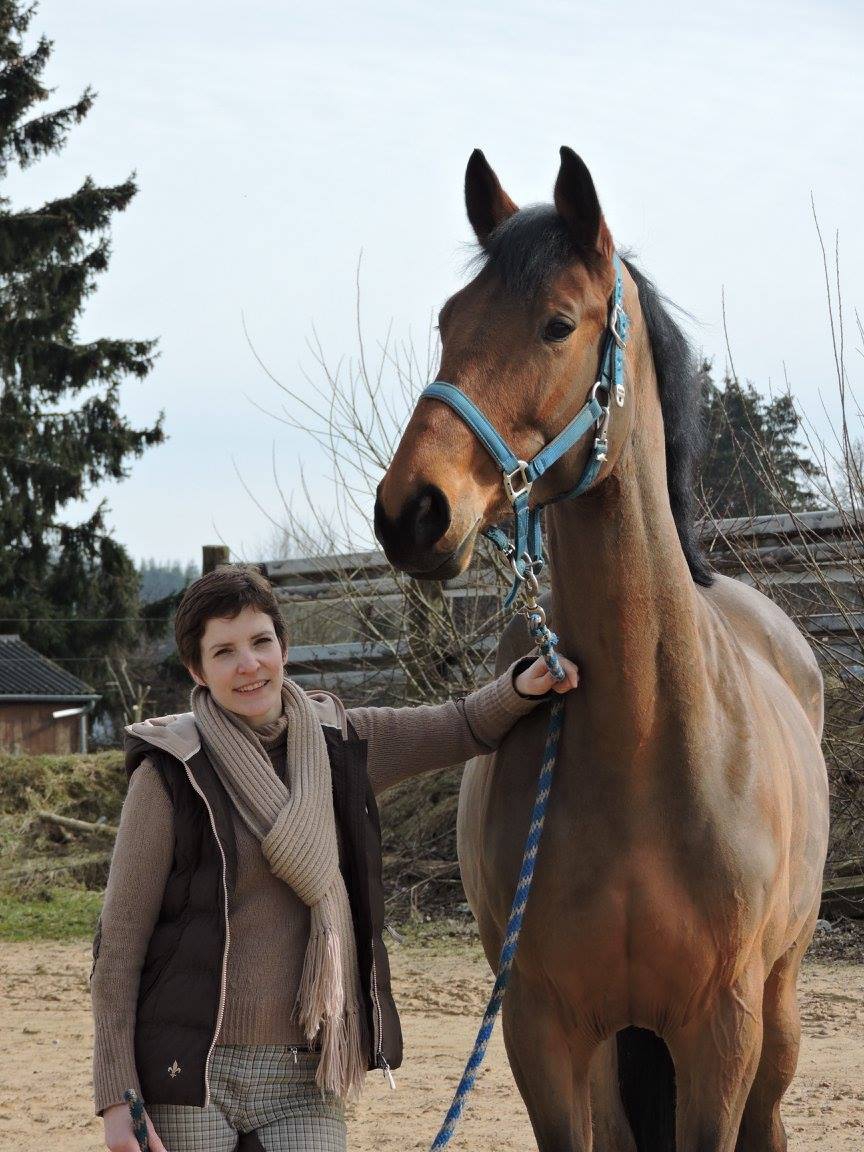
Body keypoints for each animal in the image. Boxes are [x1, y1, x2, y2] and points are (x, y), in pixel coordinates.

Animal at [372, 147, 829, 1152]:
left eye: (557, 323)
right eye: (447, 322)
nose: (412, 509)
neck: (645, 738)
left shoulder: (720, 1030)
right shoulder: (542, 1028)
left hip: (776, 1013)